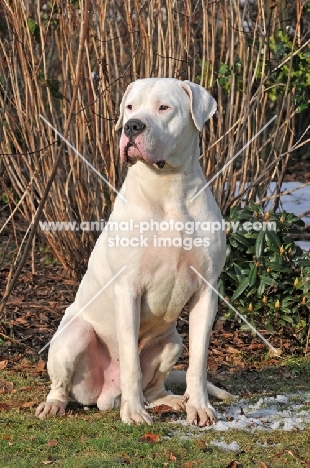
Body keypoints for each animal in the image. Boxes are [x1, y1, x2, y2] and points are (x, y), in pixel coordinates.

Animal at [35, 78, 230, 426]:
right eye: (129, 107)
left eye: (164, 107)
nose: (132, 126)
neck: (169, 187)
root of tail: (105, 396)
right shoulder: (128, 290)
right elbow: (129, 359)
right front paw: (134, 413)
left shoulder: (206, 291)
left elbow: (199, 361)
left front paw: (198, 407)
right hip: (74, 336)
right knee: (62, 384)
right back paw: (55, 404)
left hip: (172, 342)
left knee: (155, 384)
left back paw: (171, 400)